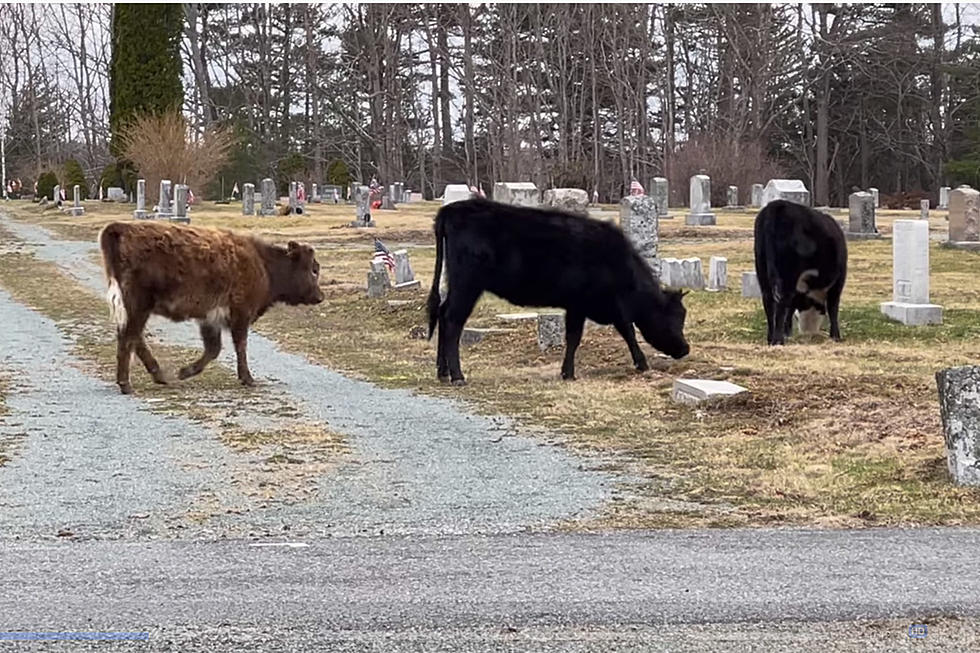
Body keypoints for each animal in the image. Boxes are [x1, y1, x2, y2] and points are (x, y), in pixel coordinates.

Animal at [99, 220, 324, 392]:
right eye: (314, 269)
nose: (320, 296)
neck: (263, 264)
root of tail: (121, 228)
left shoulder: (210, 318)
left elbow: (213, 349)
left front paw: (185, 372)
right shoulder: (240, 314)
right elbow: (240, 345)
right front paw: (248, 378)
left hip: (133, 309)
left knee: (133, 337)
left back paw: (159, 375)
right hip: (138, 307)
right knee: (128, 338)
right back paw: (126, 384)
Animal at [424, 196, 688, 384]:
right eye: (675, 317)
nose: (685, 349)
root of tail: (452, 209)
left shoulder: (595, 306)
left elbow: (615, 333)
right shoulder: (587, 303)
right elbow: (593, 335)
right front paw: (570, 373)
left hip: (455, 283)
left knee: (442, 314)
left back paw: (442, 372)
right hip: (467, 284)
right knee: (453, 320)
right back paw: (457, 376)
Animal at [756, 199, 848, 344]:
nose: (808, 332)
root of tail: (777, 205)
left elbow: (791, 307)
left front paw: (788, 331)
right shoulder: (838, 281)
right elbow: (833, 307)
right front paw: (835, 336)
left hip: (763, 271)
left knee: (768, 302)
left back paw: (771, 338)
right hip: (786, 276)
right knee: (781, 304)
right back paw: (778, 340)